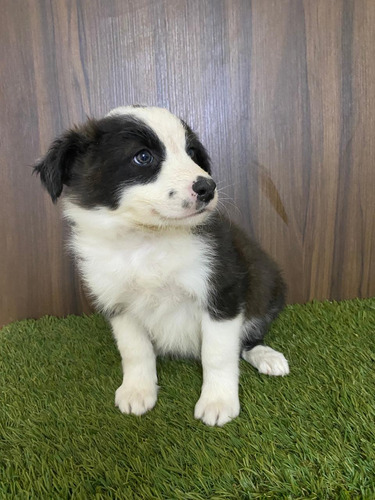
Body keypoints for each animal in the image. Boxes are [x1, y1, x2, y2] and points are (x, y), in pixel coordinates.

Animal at [33, 105, 290, 426]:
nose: (207, 187)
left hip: (265, 292)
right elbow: (134, 351)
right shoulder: (118, 304)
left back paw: (267, 356)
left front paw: (218, 401)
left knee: (248, 339)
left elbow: (217, 353)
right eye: (143, 157)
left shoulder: (223, 291)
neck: (147, 240)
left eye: (191, 153)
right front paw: (137, 391)